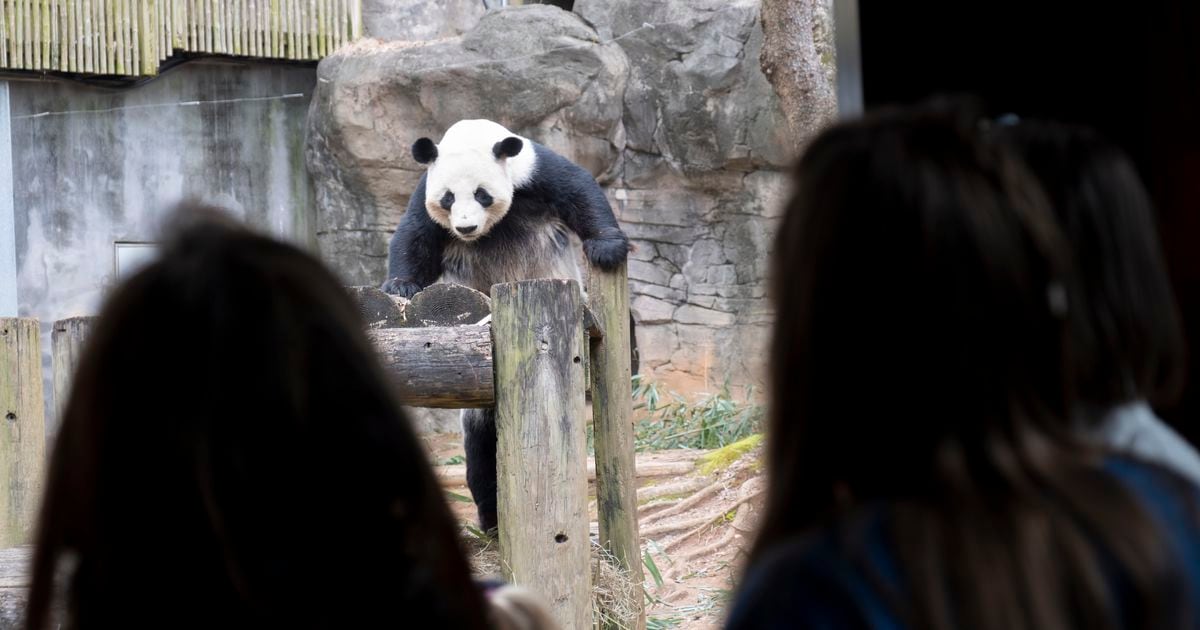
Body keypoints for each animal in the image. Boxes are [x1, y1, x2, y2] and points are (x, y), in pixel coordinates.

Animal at [388, 117, 638, 530]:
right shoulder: (426, 191)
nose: (466, 228)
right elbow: (414, 238)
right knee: (481, 443)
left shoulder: (533, 173)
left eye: (482, 195)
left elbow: (582, 193)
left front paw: (607, 247)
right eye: (449, 198)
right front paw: (400, 285)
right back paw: (491, 516)